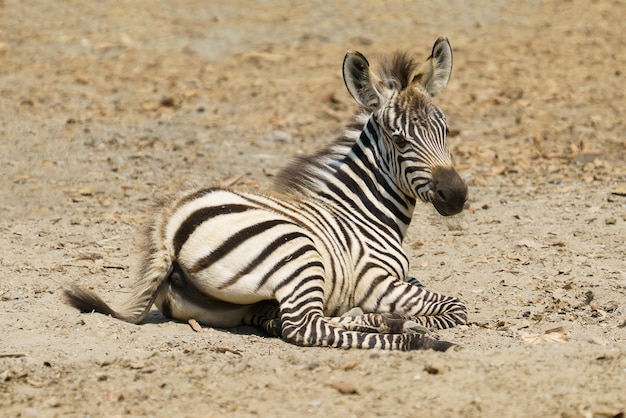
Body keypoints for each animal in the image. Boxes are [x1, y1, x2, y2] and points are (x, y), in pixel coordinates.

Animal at [66, 37, 468, 352]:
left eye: (447, 130)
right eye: (399, 140)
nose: (456, 194)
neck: (363, 211)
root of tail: (169, 225)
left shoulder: (400, 278)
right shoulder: (375, 281)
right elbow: (454, 307)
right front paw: (411, 322)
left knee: (287, 319)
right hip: (299, 253)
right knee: (304, 327)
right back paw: (413, 337)